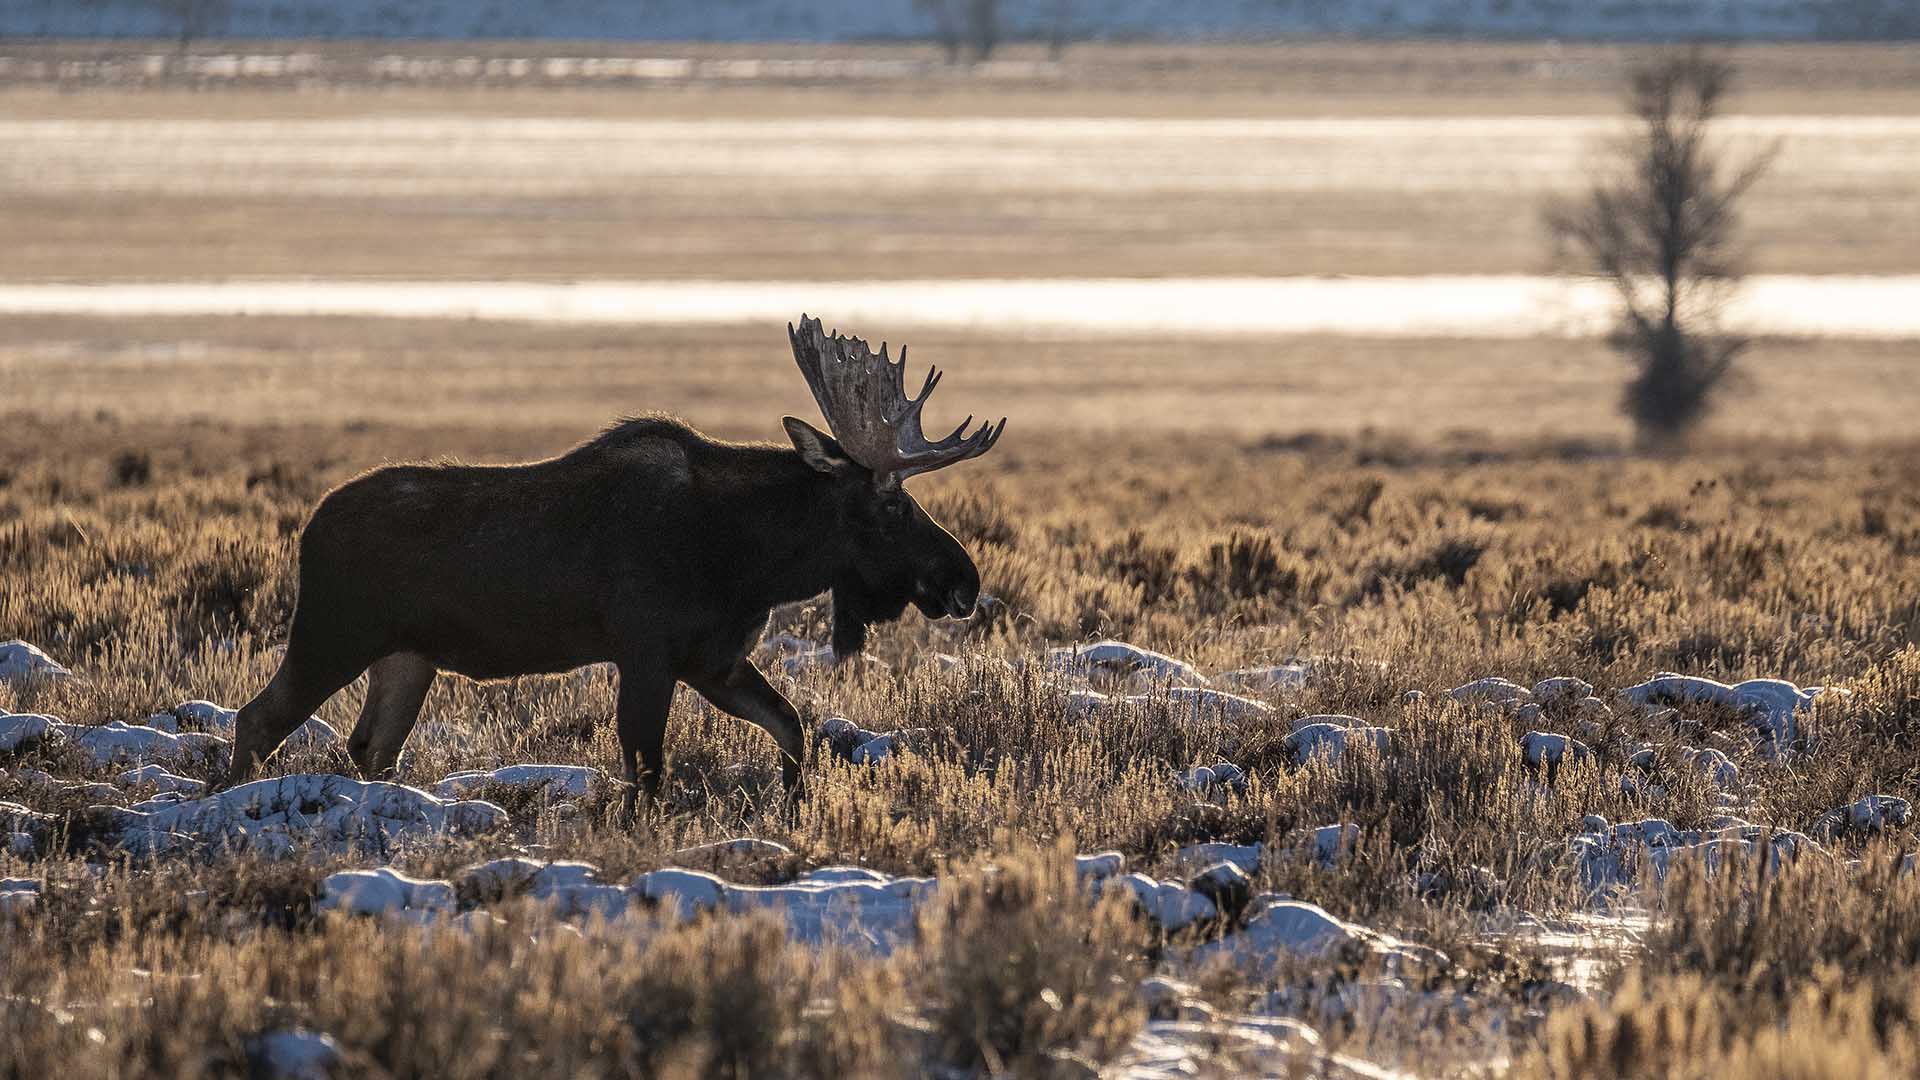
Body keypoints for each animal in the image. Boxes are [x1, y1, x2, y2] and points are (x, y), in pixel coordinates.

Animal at [216, 315, 1006, 818]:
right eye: (892, 503)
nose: (962, 580)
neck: (752, 559)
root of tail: (308, 529)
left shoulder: (713, 660)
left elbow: (792, 730)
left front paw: (794, 806)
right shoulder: (648, 653)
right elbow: (646, 773)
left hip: (408, 657)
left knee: (370, 745)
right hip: (332, 634)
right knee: (256, 720)